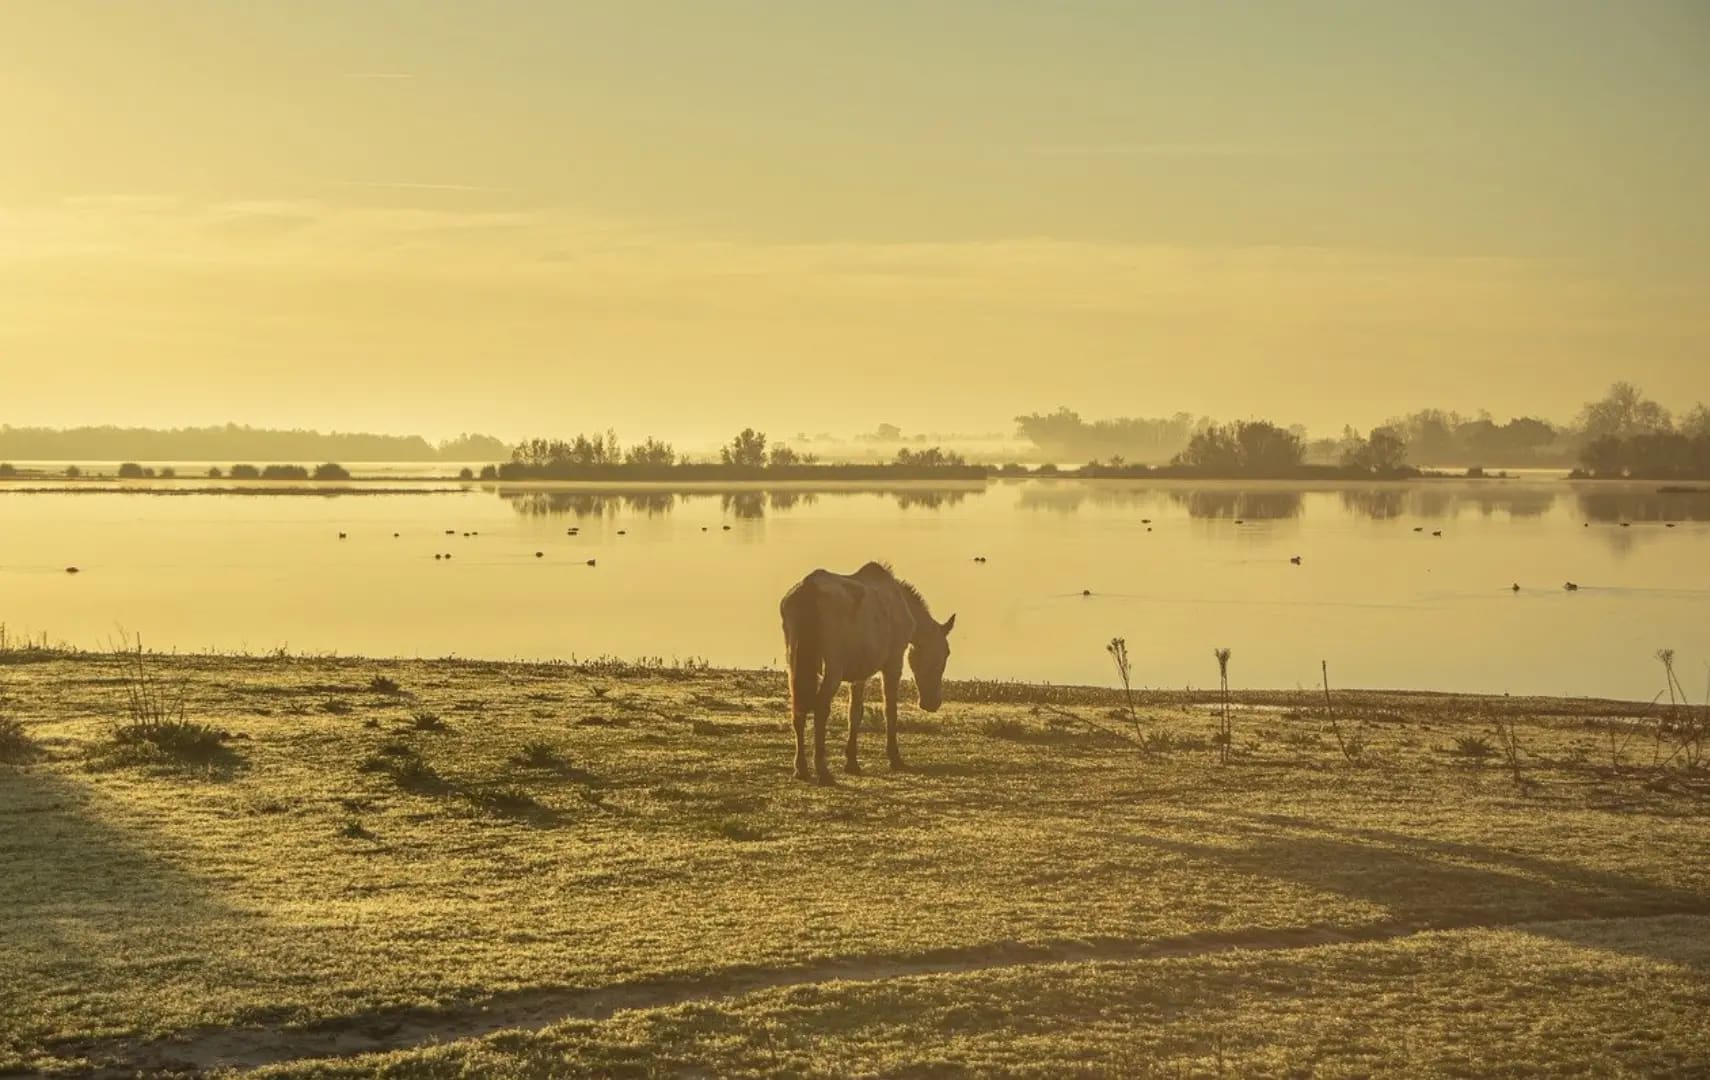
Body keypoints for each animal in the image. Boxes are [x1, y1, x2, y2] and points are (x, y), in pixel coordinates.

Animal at [778, 562, 955, 784]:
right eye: (946, 652)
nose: (932, 703)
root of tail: (808, 588)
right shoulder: (893, 663)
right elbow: (890, 711)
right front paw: (895, 758)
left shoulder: (859, 674)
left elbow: (855, 713)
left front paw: (852, 762)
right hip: (833, 668)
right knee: (820, 709)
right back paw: (822, 770)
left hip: (795, 665)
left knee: (798, 710)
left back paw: (801, 768)